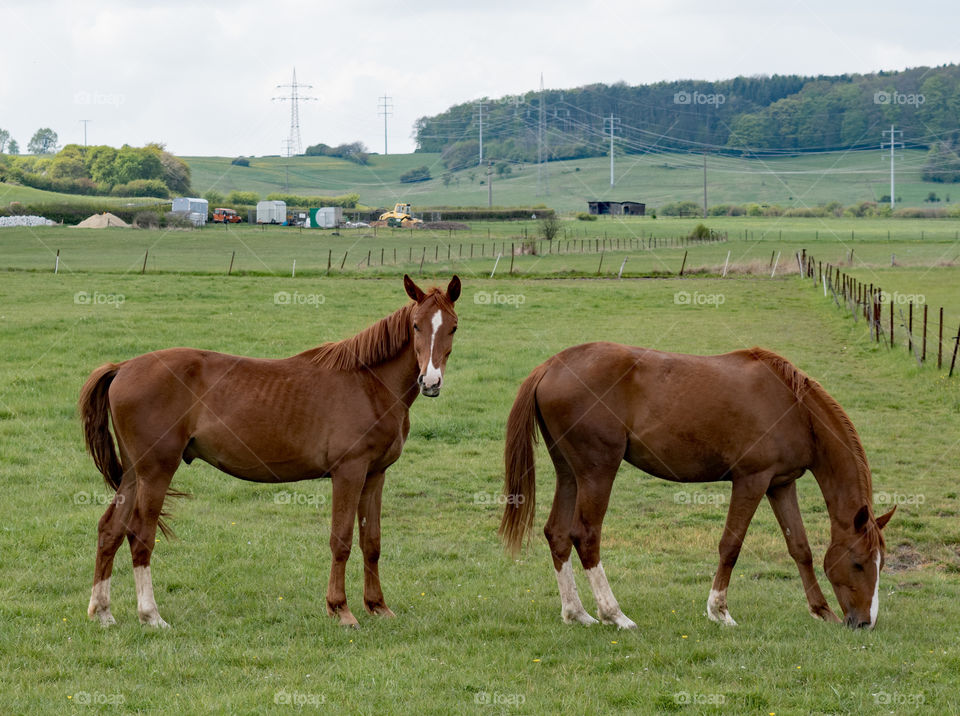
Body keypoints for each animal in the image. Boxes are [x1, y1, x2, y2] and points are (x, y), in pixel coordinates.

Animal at [79, 274, 462, 628]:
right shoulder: (348, 473)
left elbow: (372, 542)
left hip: (134, 473)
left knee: (110, 530)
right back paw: (150, 615)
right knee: (140, 535)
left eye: (453, 327)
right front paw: (340, 609)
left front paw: (378, 606)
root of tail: (123, 367)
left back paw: (103, 612)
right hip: (155, 471)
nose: (430, 382)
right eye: (416, 325)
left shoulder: (375, 475)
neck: (367, 384)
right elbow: (341, 540)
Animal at [498, 344, 896, 628]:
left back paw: (577, 613)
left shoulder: (781, 485)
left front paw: (820, 610)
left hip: (569, 474)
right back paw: (615, 614)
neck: (793, 406)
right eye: (859, 563)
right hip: (598, 473)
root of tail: (551, 365)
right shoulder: (752, 480)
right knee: (586, 536)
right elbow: (730, 546)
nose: (864, 623)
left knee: (558, 534)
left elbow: (800, 547)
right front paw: (719, 611)